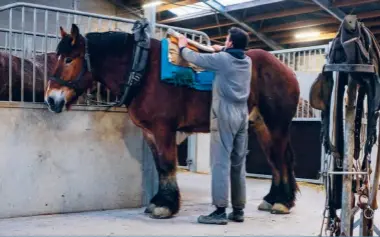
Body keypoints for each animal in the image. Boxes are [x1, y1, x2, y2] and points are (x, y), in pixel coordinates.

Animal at [43, 24, 300, 218]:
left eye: (68, 59)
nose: (51, 99)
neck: (142, 69)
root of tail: (286, 69)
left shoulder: (163, 128)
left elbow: (167, 165)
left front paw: (166, 205)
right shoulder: (149, 131)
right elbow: (160, 166)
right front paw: (159, 201)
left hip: (276, 126)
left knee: (281, 159)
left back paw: (283, 202)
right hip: (261, 126)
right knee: (275, 161)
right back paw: (273, 199)